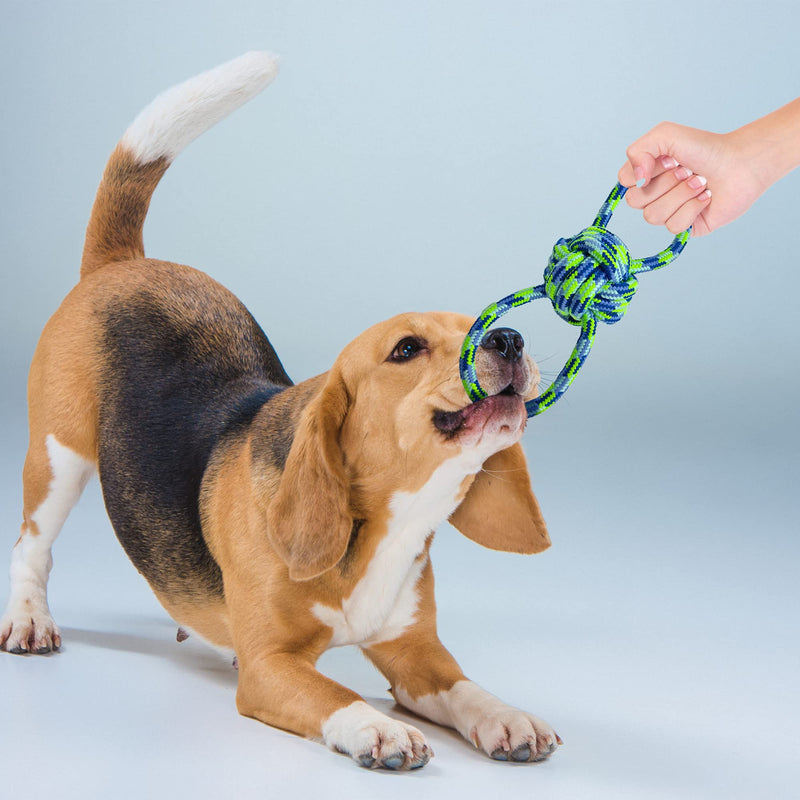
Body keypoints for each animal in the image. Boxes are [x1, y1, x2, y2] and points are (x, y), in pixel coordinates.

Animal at [0, 54, 560, 768]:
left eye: (485, 323)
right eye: (406, 348)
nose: (509, 339)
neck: (393, 521)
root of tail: (123, 265)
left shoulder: (417, 653)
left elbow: (466, 689)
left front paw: (507, 717)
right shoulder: (272, 666)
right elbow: (335, 696)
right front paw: (377, 728)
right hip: (58, 456)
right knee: (31, 544)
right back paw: (28, 618)